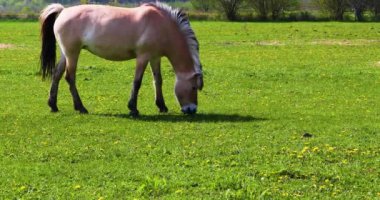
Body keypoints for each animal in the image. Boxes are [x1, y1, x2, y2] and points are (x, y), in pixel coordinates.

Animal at [40, 1, 203, 115]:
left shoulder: (155, 57)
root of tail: (63, 10)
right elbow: (137, 82)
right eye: (194, 87)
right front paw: (133, 109)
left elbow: (158, 80)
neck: (162, 25)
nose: (192, 109)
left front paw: (161, 106)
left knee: (56, 75)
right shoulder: (143, 57)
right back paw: (81, 107)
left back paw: (53, 105)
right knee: (70, 77)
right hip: (73, 53)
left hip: (66, 53)